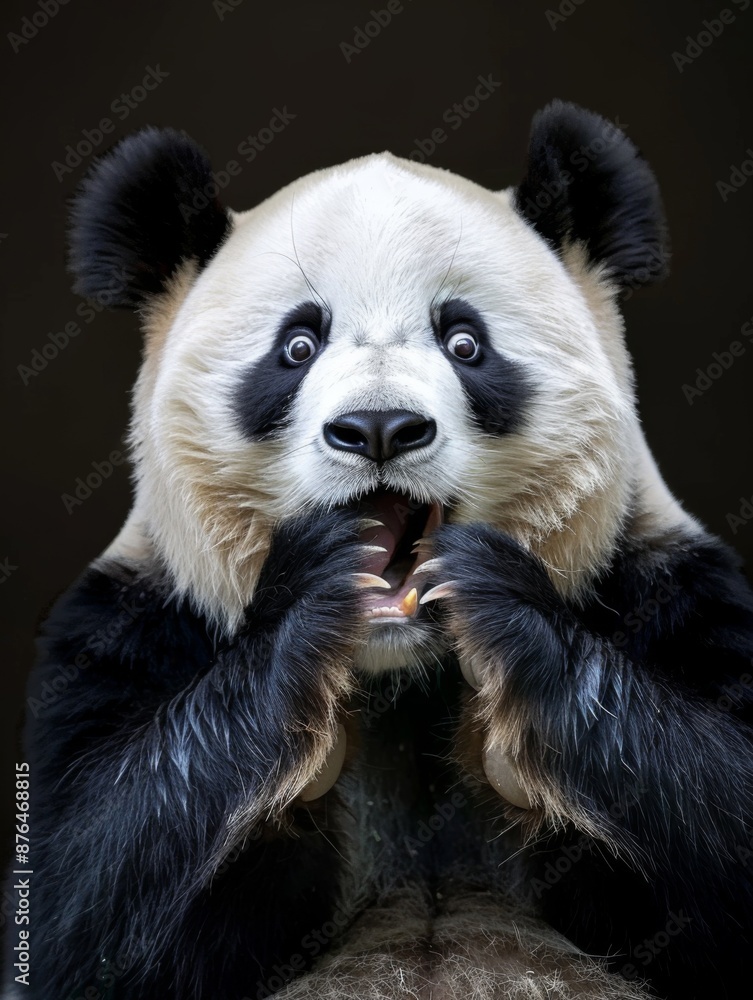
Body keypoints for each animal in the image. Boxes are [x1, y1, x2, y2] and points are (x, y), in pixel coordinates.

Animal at [6, 100, 753, 1000]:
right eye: (297, 346)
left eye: (464, 342)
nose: (379, 429)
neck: (400, 671)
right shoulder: (129, 617)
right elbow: (80, 899)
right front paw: (311, 598)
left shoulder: (662, 582)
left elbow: (719, 807)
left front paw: (498, 602)